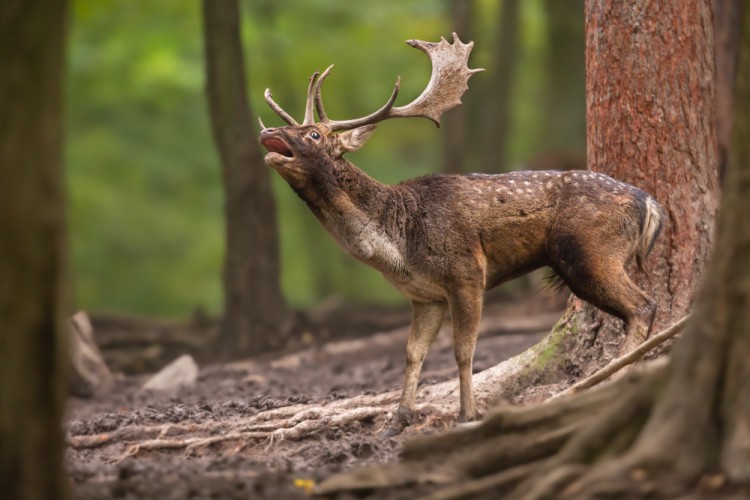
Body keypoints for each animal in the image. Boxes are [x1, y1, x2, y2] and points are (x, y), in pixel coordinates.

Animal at [258, 33, 664, 432]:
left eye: (313, 134)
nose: (268, 131)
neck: (399, 246)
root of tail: (650, 203)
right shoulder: (425, 296)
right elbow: (413, 353)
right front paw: (398, 420)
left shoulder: (467, 273)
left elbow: (463, 351)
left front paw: (467, 415)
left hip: (591, 252)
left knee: (643, 305)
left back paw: (613, 377)